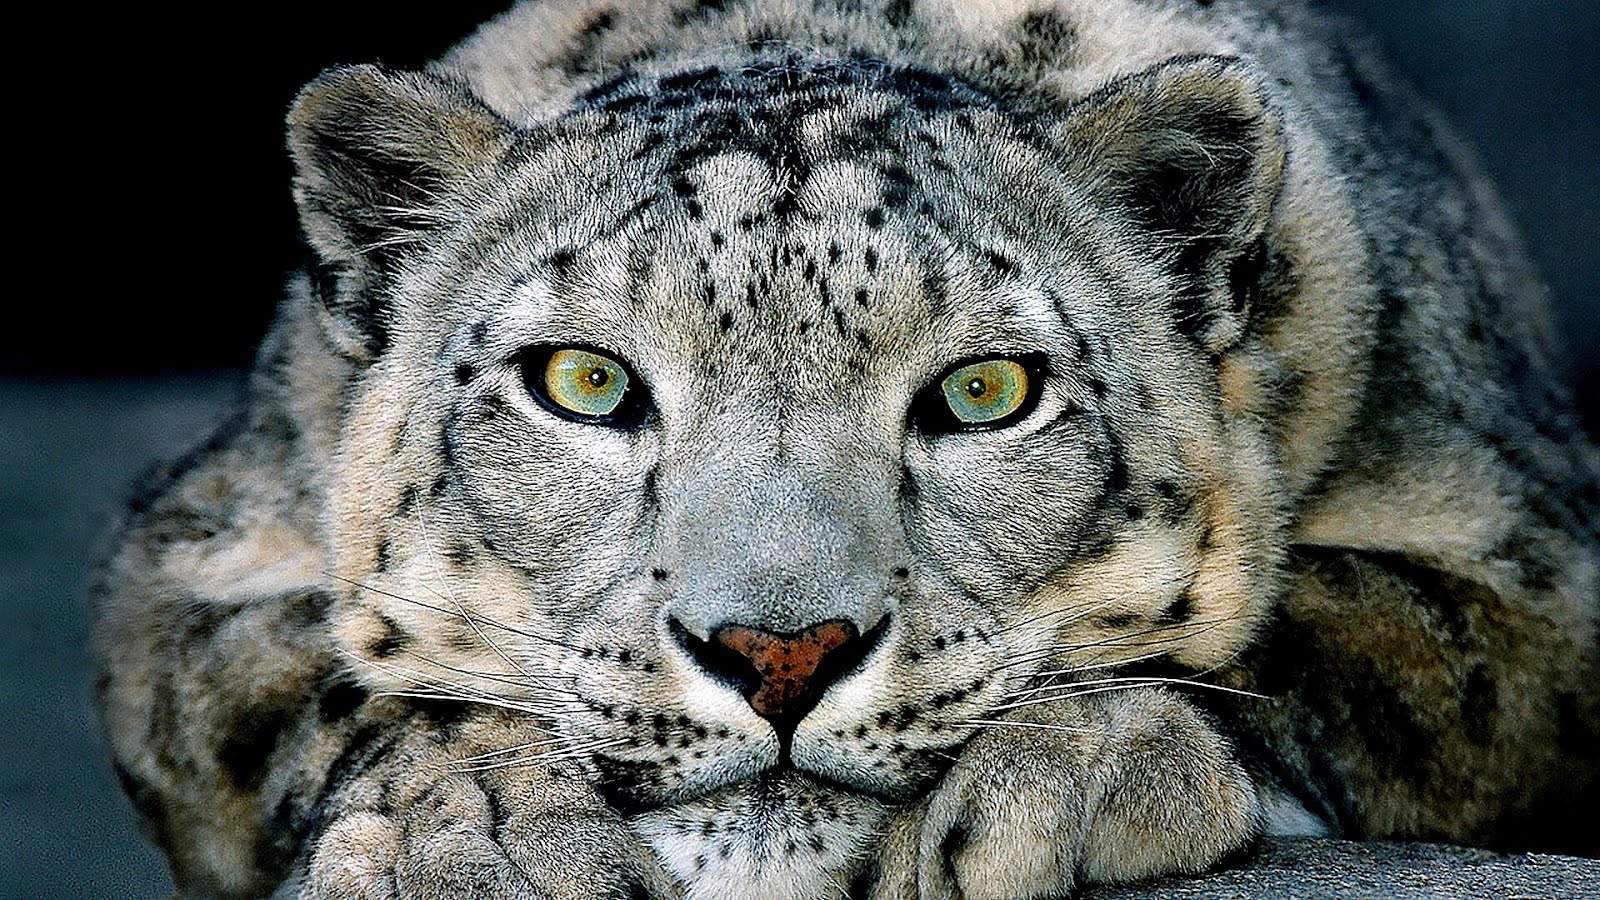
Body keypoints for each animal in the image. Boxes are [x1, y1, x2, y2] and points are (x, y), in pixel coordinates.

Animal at [92, 1, 1600, 898]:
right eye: (583, 380)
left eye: (987, 391)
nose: (780, 651)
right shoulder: (195, 557)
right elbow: (333, 679)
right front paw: (471, 832)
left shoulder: (1524, 561)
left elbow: (1308, 636)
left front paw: (1062, 778)